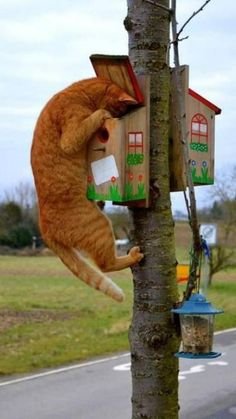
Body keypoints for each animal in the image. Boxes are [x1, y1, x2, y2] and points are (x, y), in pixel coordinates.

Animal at [31, 78, 144, 302]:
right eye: (121, 108)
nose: (119, 117)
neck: (79, 93)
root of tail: (44, 227)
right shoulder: (71, 135)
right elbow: (96, 115)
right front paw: (103, 114)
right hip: (100, 225)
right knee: (106, 265)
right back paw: (133, 256)